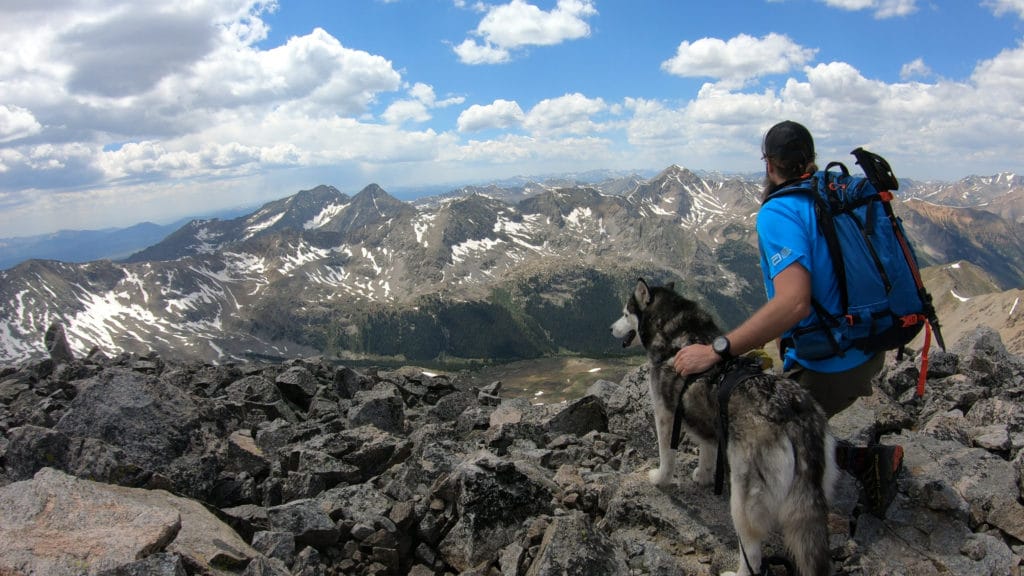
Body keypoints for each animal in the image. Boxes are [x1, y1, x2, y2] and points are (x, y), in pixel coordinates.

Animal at [606, 278, 839, 573]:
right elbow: (707, 448)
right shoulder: (705, 420)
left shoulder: (665, 412)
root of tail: (795, 418)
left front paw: (660, 479)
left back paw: (736, 572)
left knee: (751, 551)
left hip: (743, 500)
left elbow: (666, 454)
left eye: (626, 313)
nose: (609, 328)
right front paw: (703, 476)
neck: (677, 335)